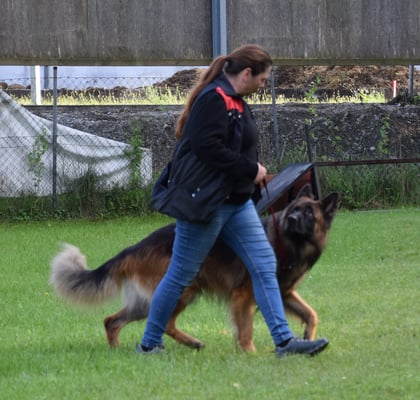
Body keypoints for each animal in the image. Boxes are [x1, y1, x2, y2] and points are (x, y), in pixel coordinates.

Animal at [50, 184, 339, 352]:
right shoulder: (246, 294)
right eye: (294, 209)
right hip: (184, 289)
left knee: (113, 321)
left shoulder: (284, 292)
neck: (288, 243)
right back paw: (189, 342)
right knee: (165, 322)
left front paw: (307, 336)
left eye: (308, 213)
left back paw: (118, 350)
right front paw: (249, 353)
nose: (291, 219)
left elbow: (311, 314)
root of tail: (135, 247)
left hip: (145, 301)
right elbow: (245, 329)